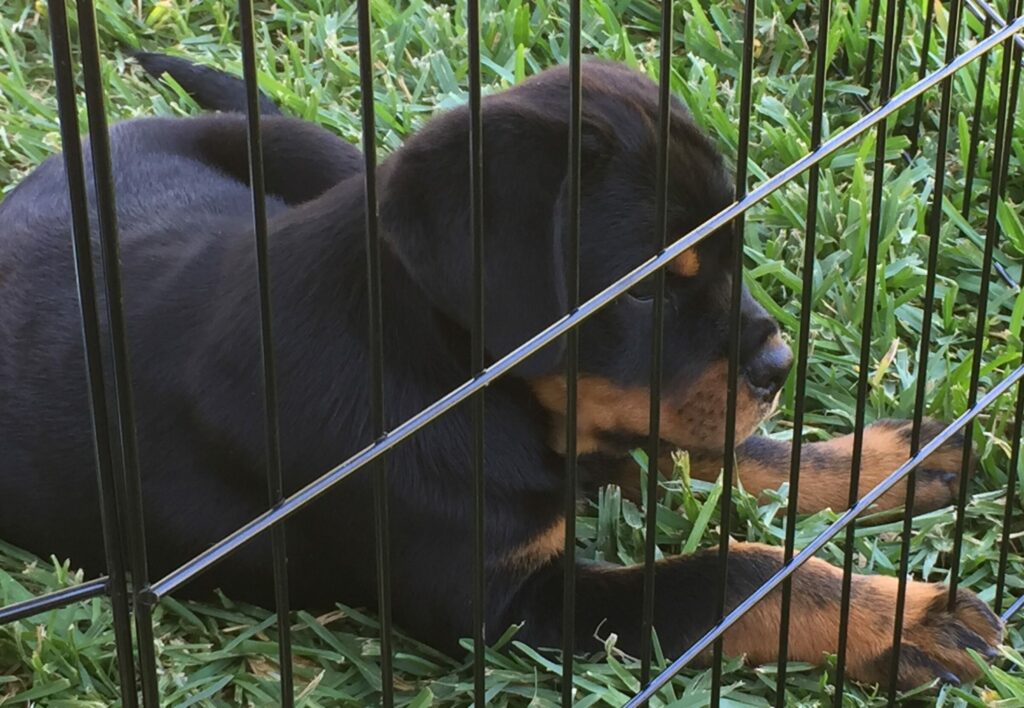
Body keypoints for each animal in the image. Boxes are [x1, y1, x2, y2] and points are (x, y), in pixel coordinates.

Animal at [0, 55, 995, 688]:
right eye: (644, 290)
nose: (779, 365)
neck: (459, 384)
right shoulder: (518, 607)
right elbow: (733, 574)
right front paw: (905, 619)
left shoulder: (610, 438)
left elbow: (742, 457)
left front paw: (902, 456)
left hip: (318, 156)